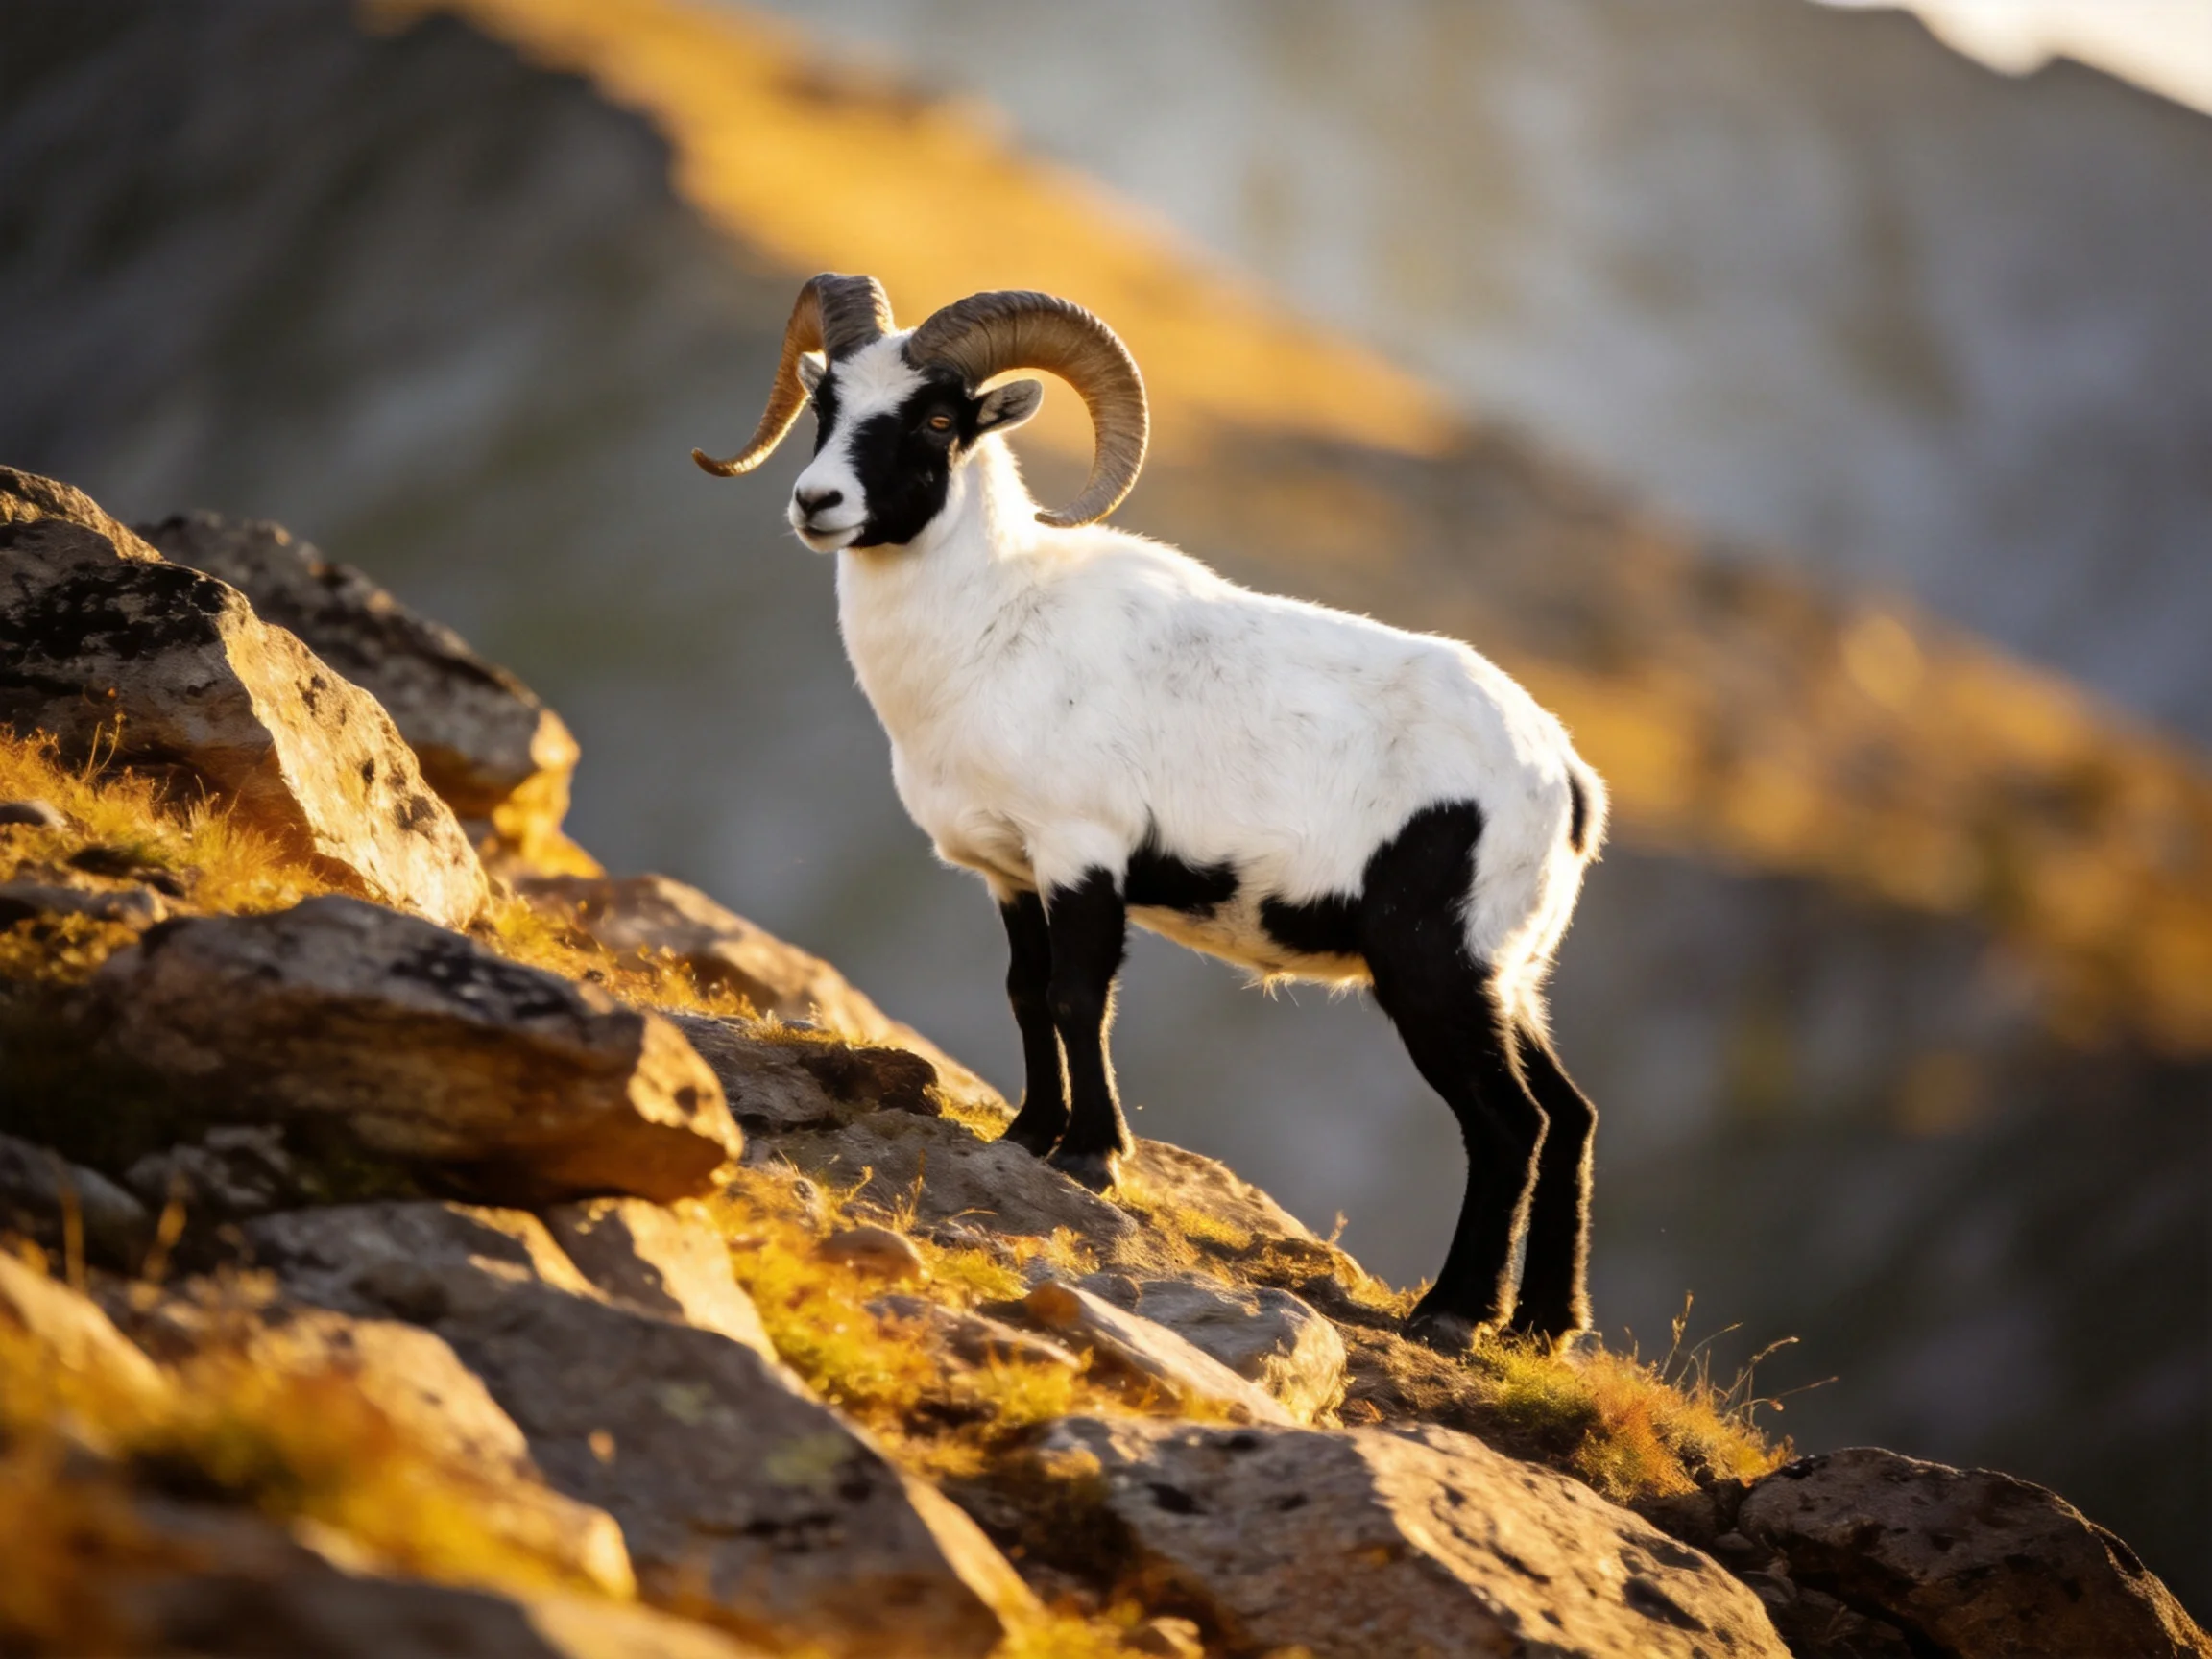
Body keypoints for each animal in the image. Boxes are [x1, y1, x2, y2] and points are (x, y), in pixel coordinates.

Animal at [695, 274, 1609, 1345]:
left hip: (1435, 971)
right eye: (827, 403)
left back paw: (1453, 1315)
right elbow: (1025, 992)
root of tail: (1564, 776)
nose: (818, 503)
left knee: (1511, 1124)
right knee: (1571, 1115)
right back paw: (1545, 1326)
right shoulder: (1012, 873)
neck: (996, 629)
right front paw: (1030, 1134)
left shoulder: (1082, 854)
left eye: (935, 418)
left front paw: (1093, 1157)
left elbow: (1076, 996)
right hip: (1507, 978)